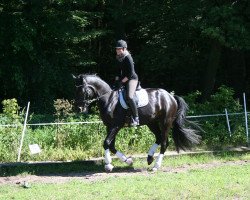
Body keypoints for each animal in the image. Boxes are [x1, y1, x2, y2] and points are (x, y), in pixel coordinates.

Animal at [73, 74, 201, 171]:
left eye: (82, 90)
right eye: (76, 90)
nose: (79, 109)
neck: (109, 99)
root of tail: (170, 96)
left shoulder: (116, 126)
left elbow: (106, 143)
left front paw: (108, 164)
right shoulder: (109, 126)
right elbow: (111, 145)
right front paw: (128, 161)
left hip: (165, 122)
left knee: (164, 143)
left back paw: (156, 166)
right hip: (152, 123)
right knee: (159, 138)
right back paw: (149, 158)